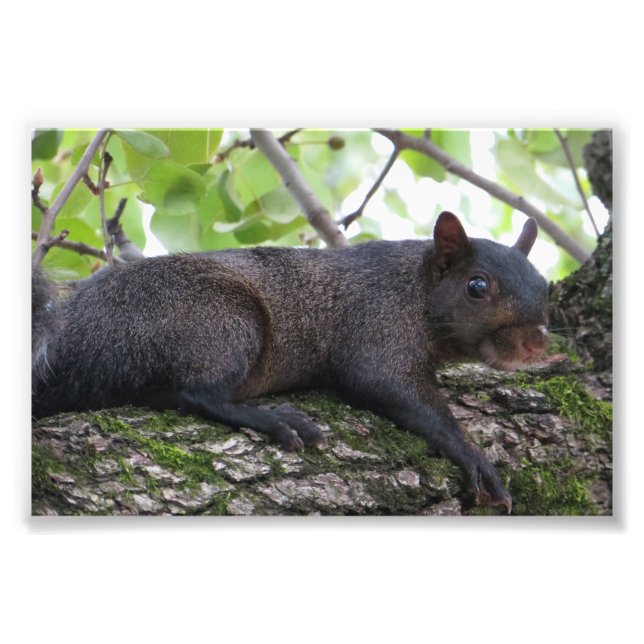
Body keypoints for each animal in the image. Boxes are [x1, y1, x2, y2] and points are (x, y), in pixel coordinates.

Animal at [32, 211, 549, 512]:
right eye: (477, 286)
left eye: (544, 284)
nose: (536, 343)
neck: (416, 285)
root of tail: (72, 339)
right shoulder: (378, 328)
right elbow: (393, 388)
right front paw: (473, 456)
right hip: (220, 321)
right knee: (192, 394)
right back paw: (275, 419)